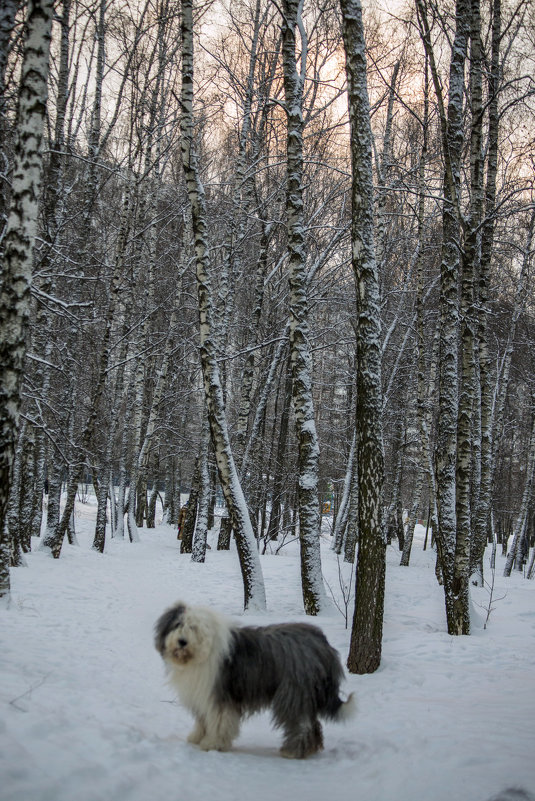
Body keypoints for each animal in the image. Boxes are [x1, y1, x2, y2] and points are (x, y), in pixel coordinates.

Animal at [155, 600, 356, 756]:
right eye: (177, 624)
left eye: (193, 627)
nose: (182, 641)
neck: (204, 652)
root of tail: (322, 642)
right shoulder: (202, 696)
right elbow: (203, 720)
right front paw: (196, 737)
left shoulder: (219, 696)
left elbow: (218, 722)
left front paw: (213, 744)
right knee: (312, 722)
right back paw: (310, 749)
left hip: (294, 692)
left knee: (301, 723)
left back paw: (293, 751)